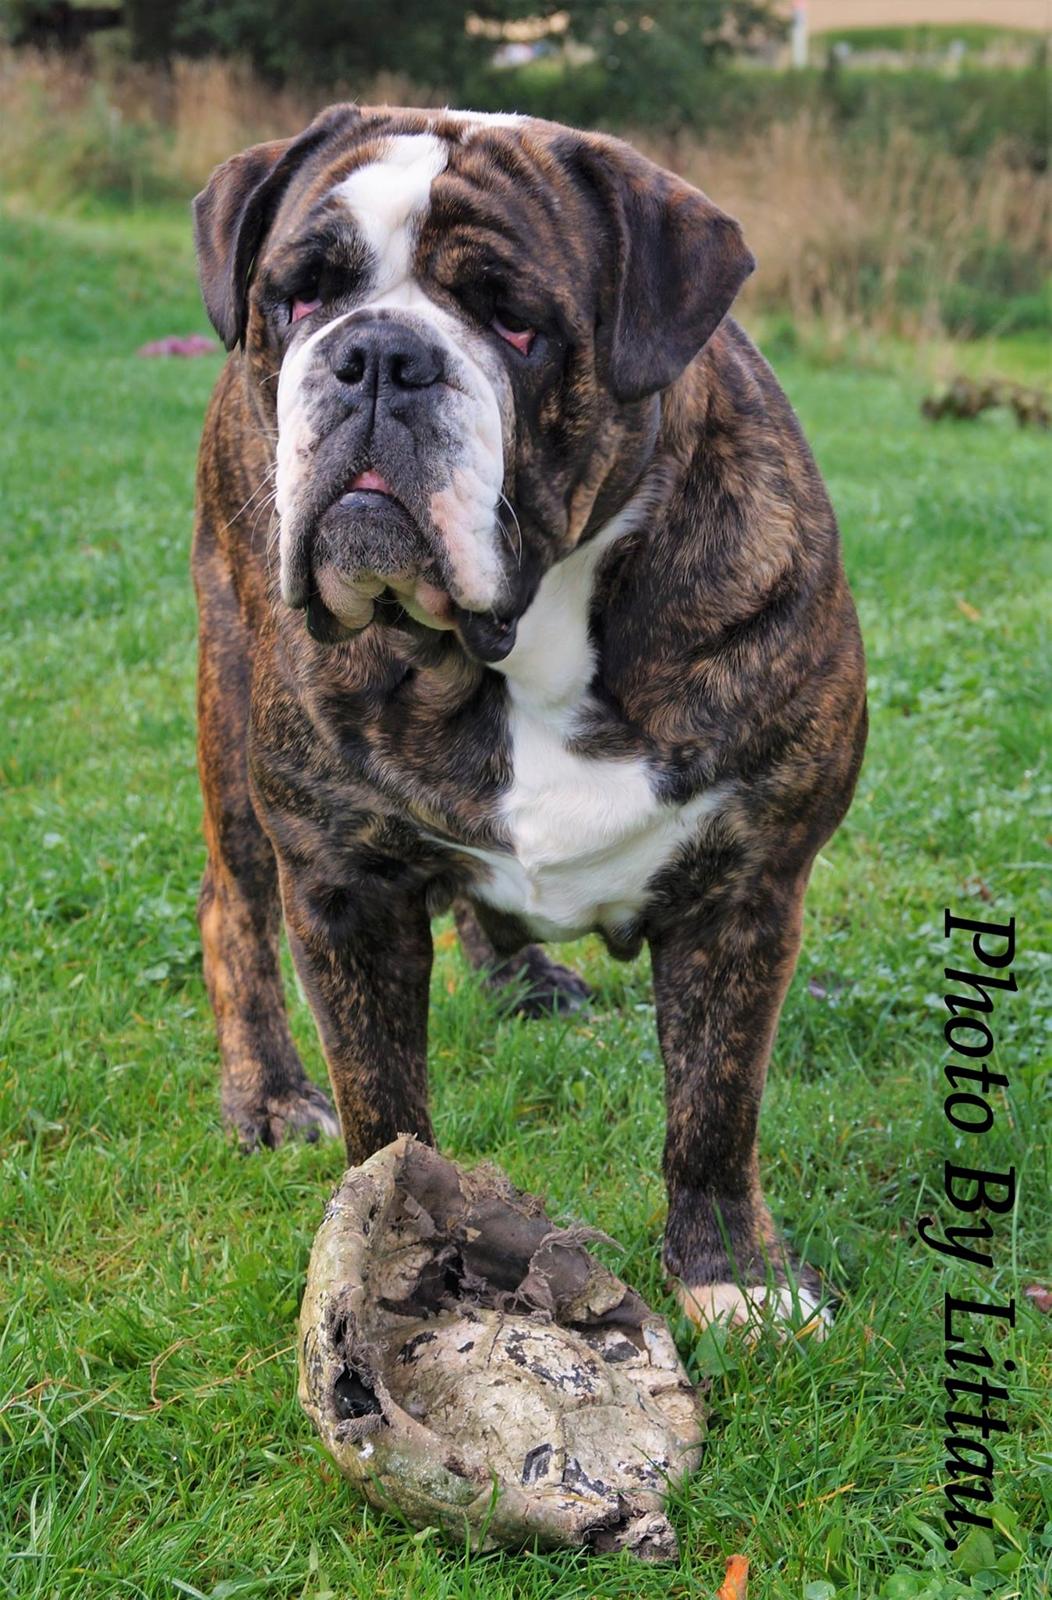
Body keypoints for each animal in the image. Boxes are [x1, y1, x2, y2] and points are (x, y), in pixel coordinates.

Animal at [188, 103, 863, 1337]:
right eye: (300, 297)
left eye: (514, 321)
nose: (377, 355)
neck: (508, 647)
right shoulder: (343, 886)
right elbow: (385, 1108)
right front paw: (387, 1233)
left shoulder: (747, 889)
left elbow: (715, 1105)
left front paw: (733, 1274)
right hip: (230, 697)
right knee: (232, 909)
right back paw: (269, 1094)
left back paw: (519, 976)